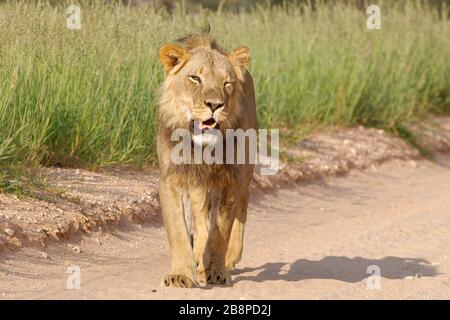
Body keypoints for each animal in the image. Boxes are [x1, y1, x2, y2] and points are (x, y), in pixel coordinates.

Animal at [157, 33, 256, 288]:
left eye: (227, 83)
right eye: (195, 78)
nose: (214, 105)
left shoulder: (232, 179)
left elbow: (221, 231)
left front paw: (218, 270)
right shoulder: (171, 178)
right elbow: (179, 230)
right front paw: (181, 274)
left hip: (245, 171)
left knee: (241, 208)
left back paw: (226, 259)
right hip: (198, 185)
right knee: (201, 222)